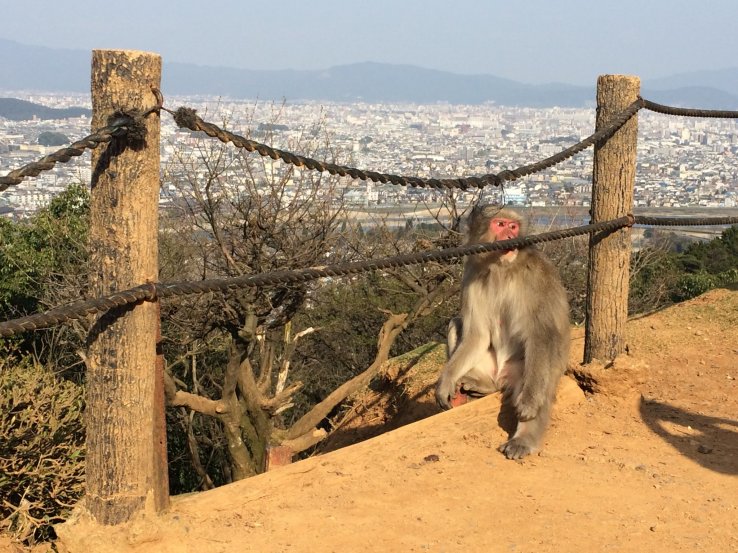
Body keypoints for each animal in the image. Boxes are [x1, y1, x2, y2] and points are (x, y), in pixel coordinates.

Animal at [435, 205, 570, 459]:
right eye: (500, 224)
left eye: (513, 227)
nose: (510, 236)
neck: (499, 268)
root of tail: (501, 378)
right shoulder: (472, 272)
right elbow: (476, 334)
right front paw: (445, 382)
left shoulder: (536, 276)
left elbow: (540, 334)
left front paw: (529, 407)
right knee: (456, 324)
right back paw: (483, 384)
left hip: (526, 372)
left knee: (543, 367)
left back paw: (523, 438)